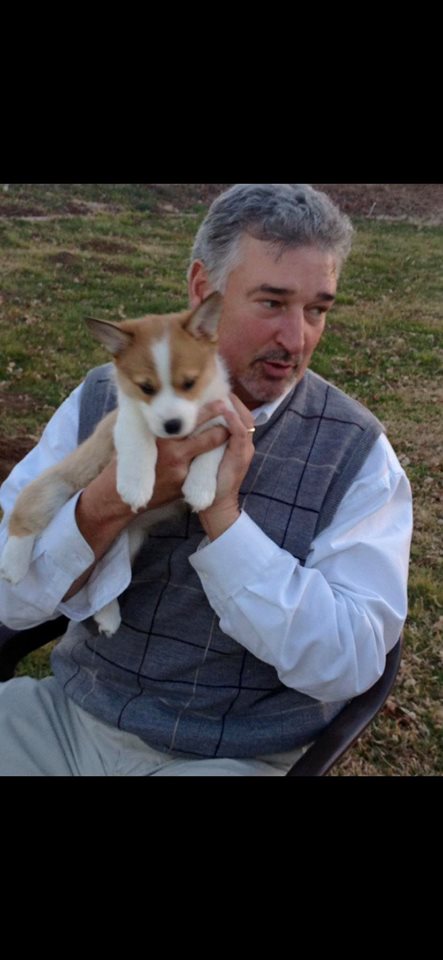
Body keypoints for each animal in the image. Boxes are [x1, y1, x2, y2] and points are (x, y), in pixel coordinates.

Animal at [0, 292, 232, 635]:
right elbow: (140, 441)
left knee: (100, 583)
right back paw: (12, 567)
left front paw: (200, 490)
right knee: (24, 515)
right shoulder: (126, 420)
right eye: (146, 388)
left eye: (189, 383)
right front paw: (136, 486)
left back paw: (108, 617)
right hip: (53, 489)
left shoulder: (224, 421)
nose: (172, 426)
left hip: (128, 541)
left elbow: (212, 451)